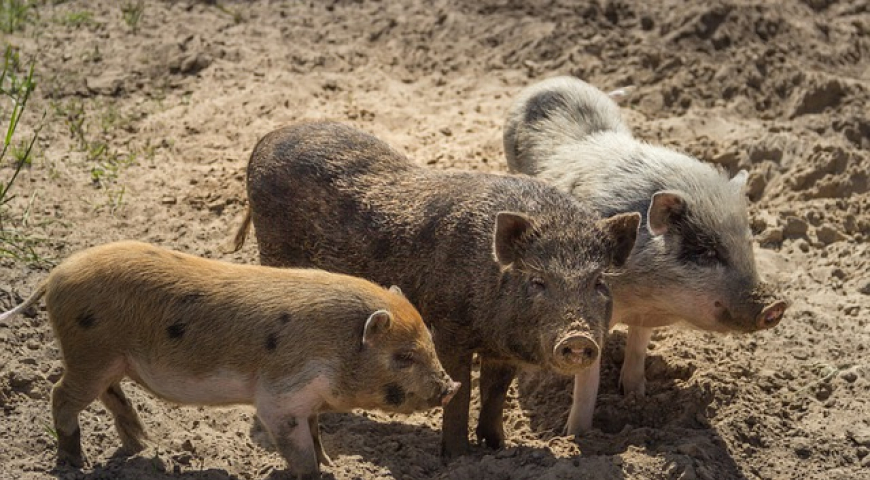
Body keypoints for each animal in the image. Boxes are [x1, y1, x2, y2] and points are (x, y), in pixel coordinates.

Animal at [0, 242, 464, 478]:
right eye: (403, 356)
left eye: (429, 343)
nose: (451, 387)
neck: (335, 349)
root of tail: (55, 276)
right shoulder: (279, 399)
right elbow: (298, 449)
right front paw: (314, 473)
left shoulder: (308, 401)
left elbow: (317, 436)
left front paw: (332, 465)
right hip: (88, 353)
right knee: (61, 395)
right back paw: (74, 463)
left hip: (108, 360)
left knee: (109, 396)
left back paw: (140, 447)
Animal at [232, 121, 640, 458]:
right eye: (538, 281)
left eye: (599, 282)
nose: (579, 339)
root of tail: (267, 139)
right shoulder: (449, 331)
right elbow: (461, 394)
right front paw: (457, 458)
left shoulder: (502, 350)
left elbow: (494, 394)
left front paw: (498, 449)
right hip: (273, 251)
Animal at [500, 76, 792, 436]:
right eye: (707, 251)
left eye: (748, 244)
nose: (775, 305)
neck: (647, 296)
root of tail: (553, 79)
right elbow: (587, 381)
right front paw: (574, 436)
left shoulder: (644, 316)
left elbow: (638, 347)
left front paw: (635, 397)